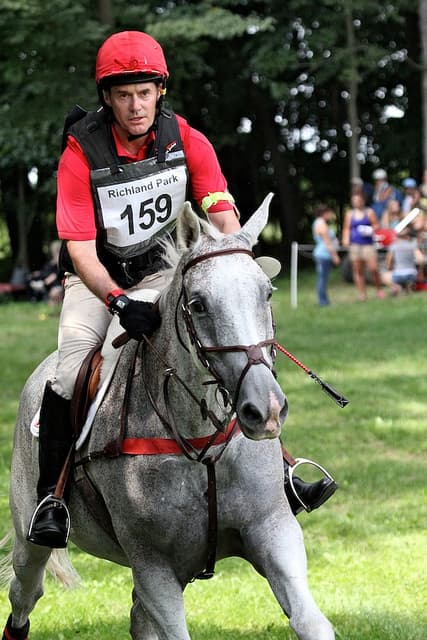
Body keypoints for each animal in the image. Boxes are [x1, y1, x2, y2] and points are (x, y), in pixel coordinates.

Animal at [2, 194, 335, 640]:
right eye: (198, 304)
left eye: (266, 293)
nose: (265, 410)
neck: (201, 442)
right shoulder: (153, 566)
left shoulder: (273, 531)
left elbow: (310, 621)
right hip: (31, 542)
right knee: (24, 596)